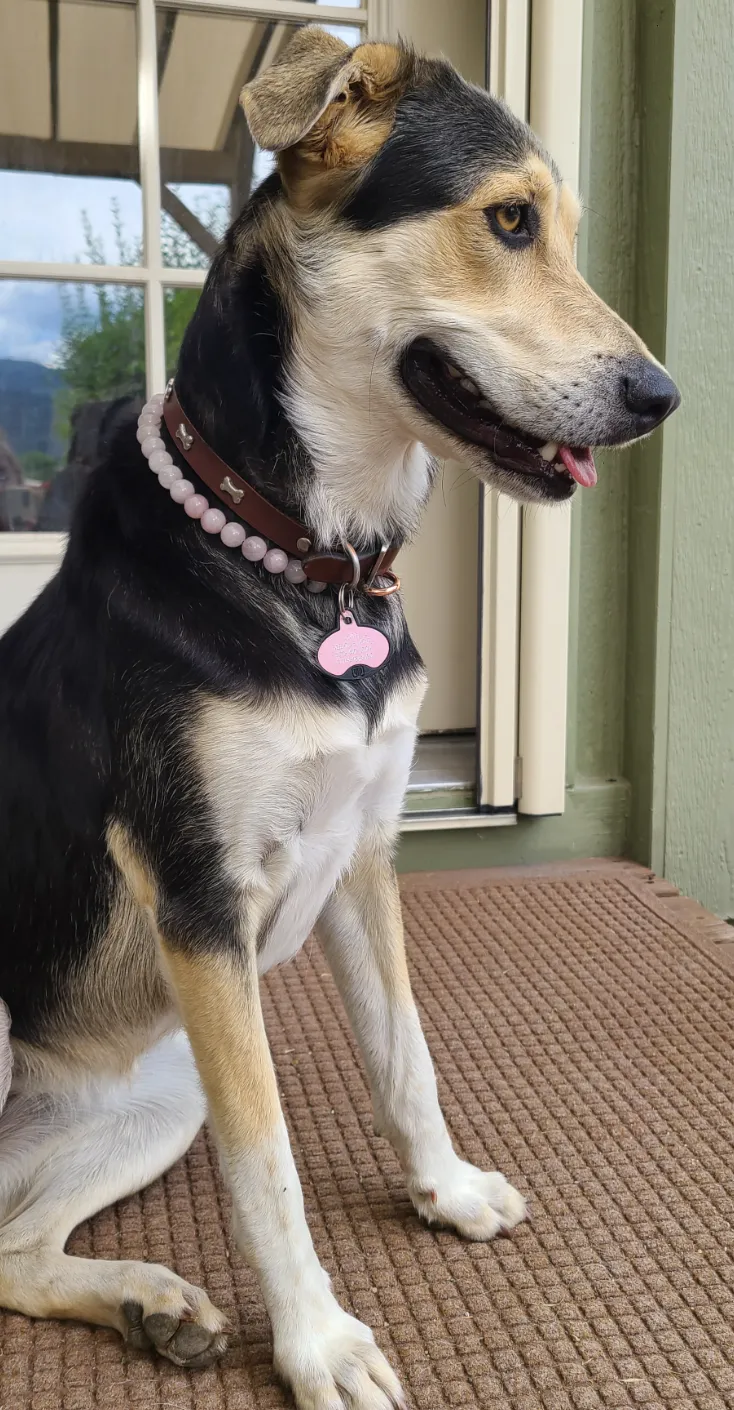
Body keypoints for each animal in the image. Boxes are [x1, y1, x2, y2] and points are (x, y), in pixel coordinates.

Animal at [0, 24, 676, 1410]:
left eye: (566, 230)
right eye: (509, 220)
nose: (662, 396)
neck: (309, 558)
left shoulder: (363, 852)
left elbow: (403, 1053)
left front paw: (444, 1192)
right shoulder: (200, 906)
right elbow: (268, 1163)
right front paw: (316, 1343)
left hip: (153, 1095)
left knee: (9, 1246)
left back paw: (151, 1306)